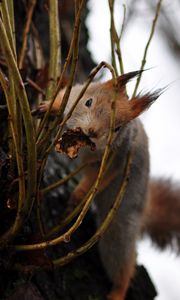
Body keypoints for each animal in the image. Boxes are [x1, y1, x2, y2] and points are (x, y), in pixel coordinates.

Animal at [37, 71, 180, 300]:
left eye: (118, 128)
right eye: (88, 102)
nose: (93, 131)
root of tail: (144, 209)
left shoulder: (115, 160)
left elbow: (96, 180)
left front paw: (78, 195)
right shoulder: (77, 92)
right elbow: (65, 96)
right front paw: (49, 105)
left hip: (119, 229)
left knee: (123, 266)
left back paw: (117, 293)